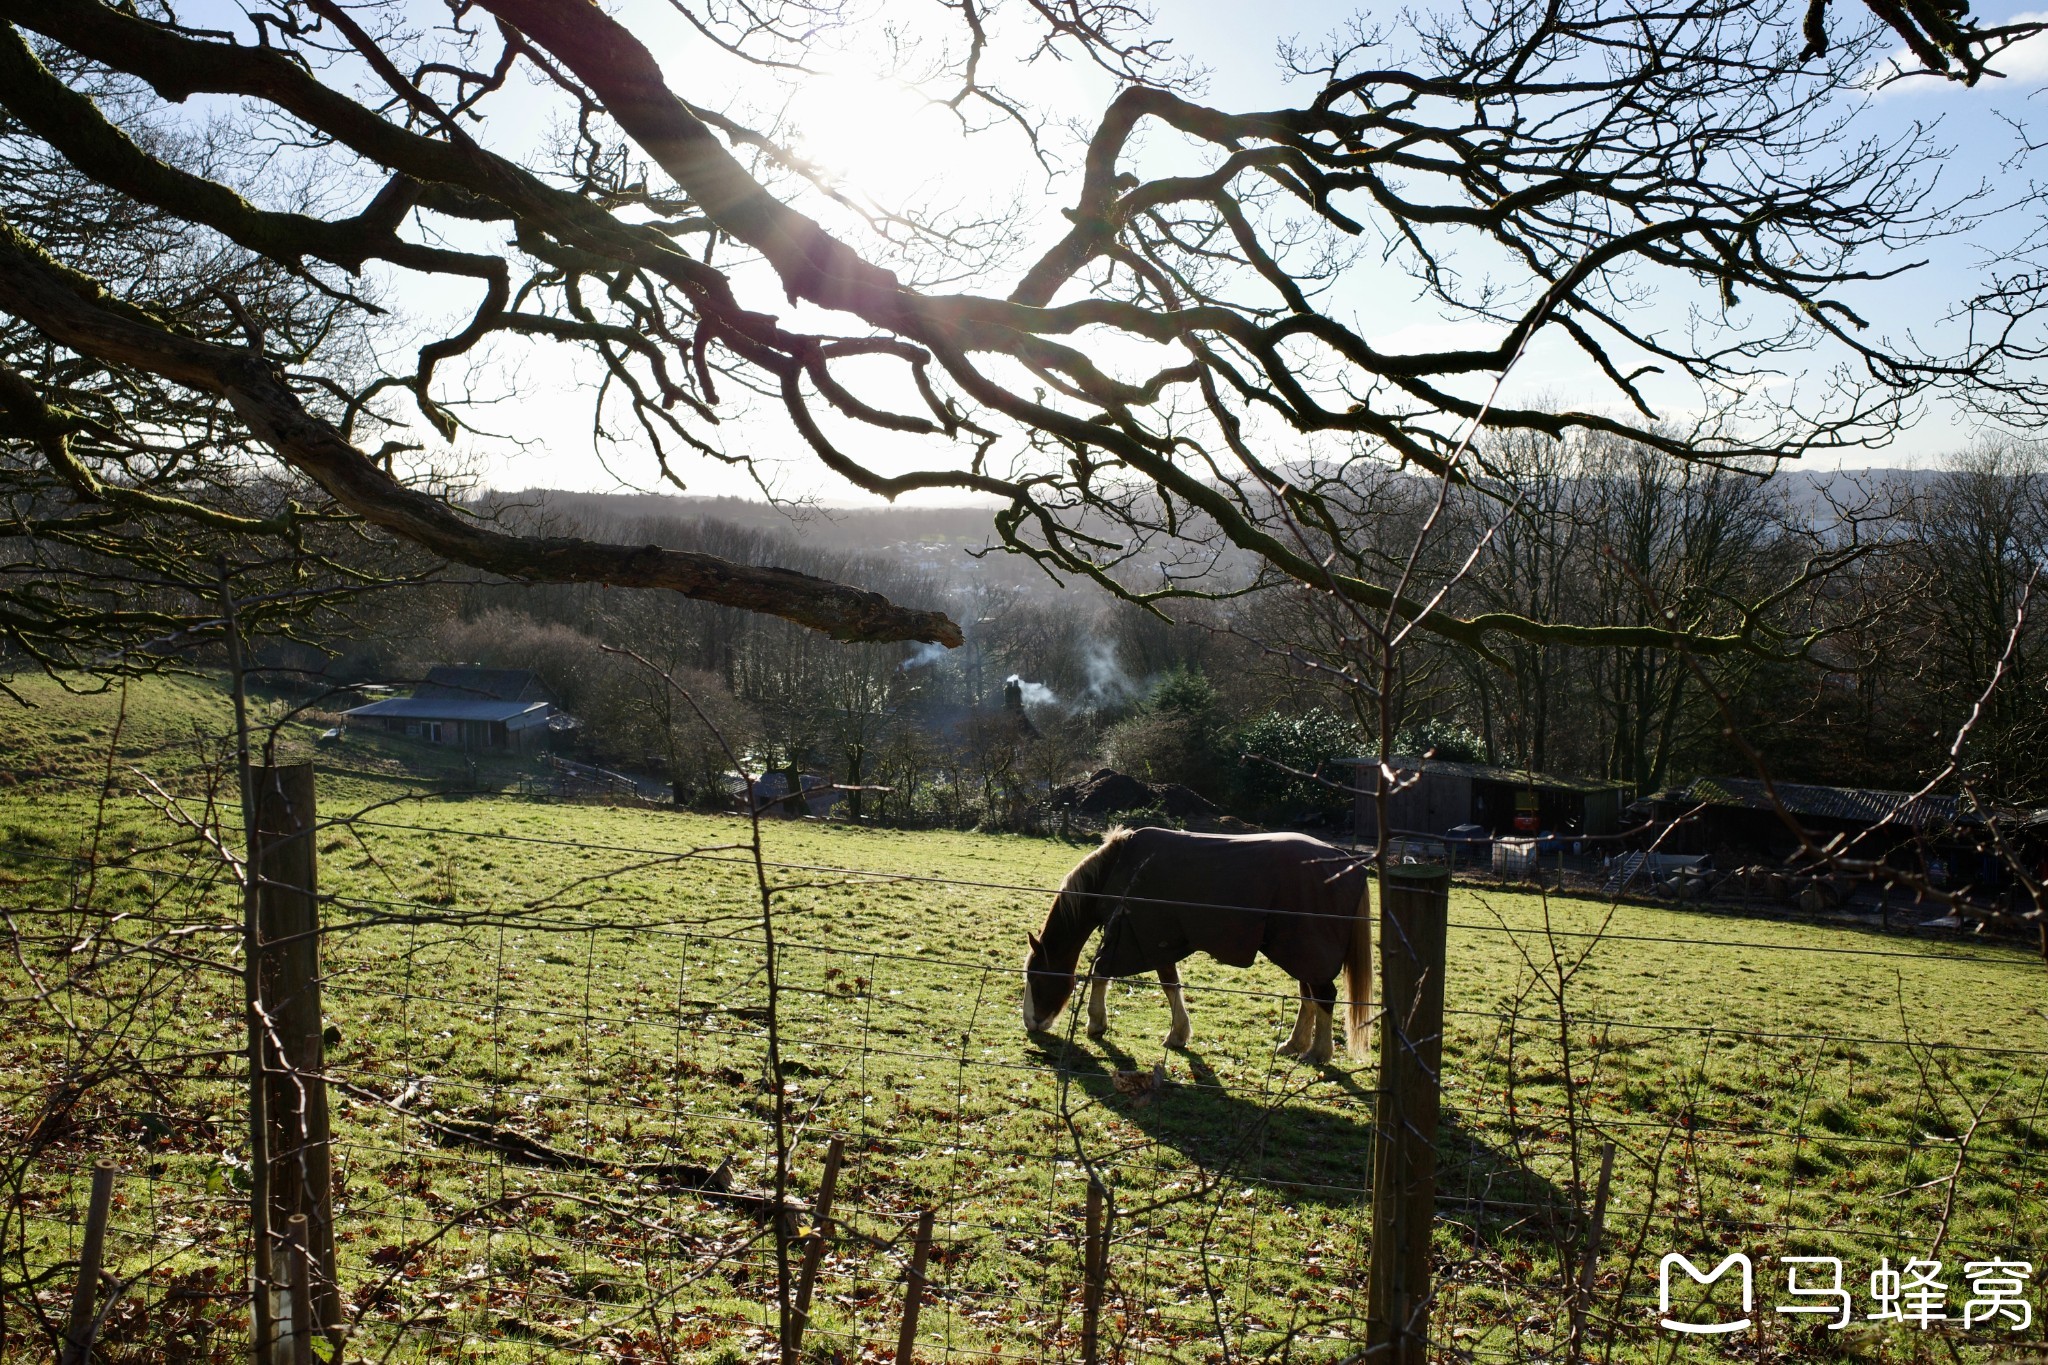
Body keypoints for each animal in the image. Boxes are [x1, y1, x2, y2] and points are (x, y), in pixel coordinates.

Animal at [1024, 826, 1376, 1064]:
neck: (1119, 870)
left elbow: (1101, 972)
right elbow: (1170, 984)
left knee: (1324, 995)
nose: (1031, 1023)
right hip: (1298, 951)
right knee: (1309, 995)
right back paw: (1294, 1045)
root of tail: (1350, 864)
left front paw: (1096, 1023)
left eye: (1036, 977)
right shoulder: (1156, 938)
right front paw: (1178, 1034)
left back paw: (1318, 1053)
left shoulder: (1136, 935)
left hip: (1305, 948)